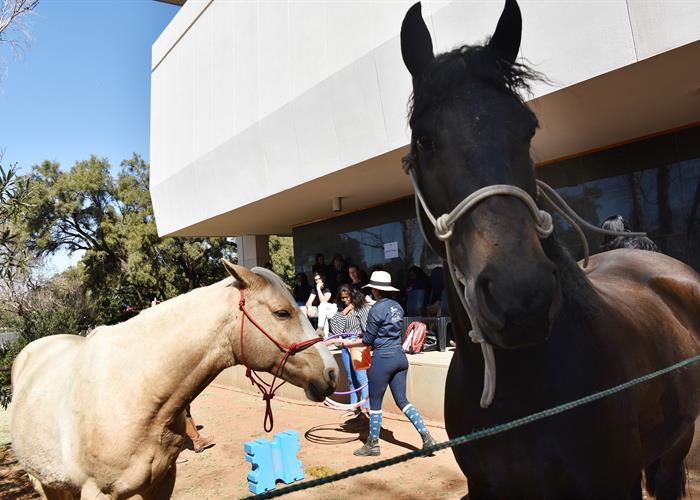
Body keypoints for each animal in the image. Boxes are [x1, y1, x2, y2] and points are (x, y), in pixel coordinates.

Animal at [10, 264, 340, 498]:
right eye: (282, 313)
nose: (332, 372)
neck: (134, 394)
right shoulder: (97, 493)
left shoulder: (162, 484)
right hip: (45, 483)